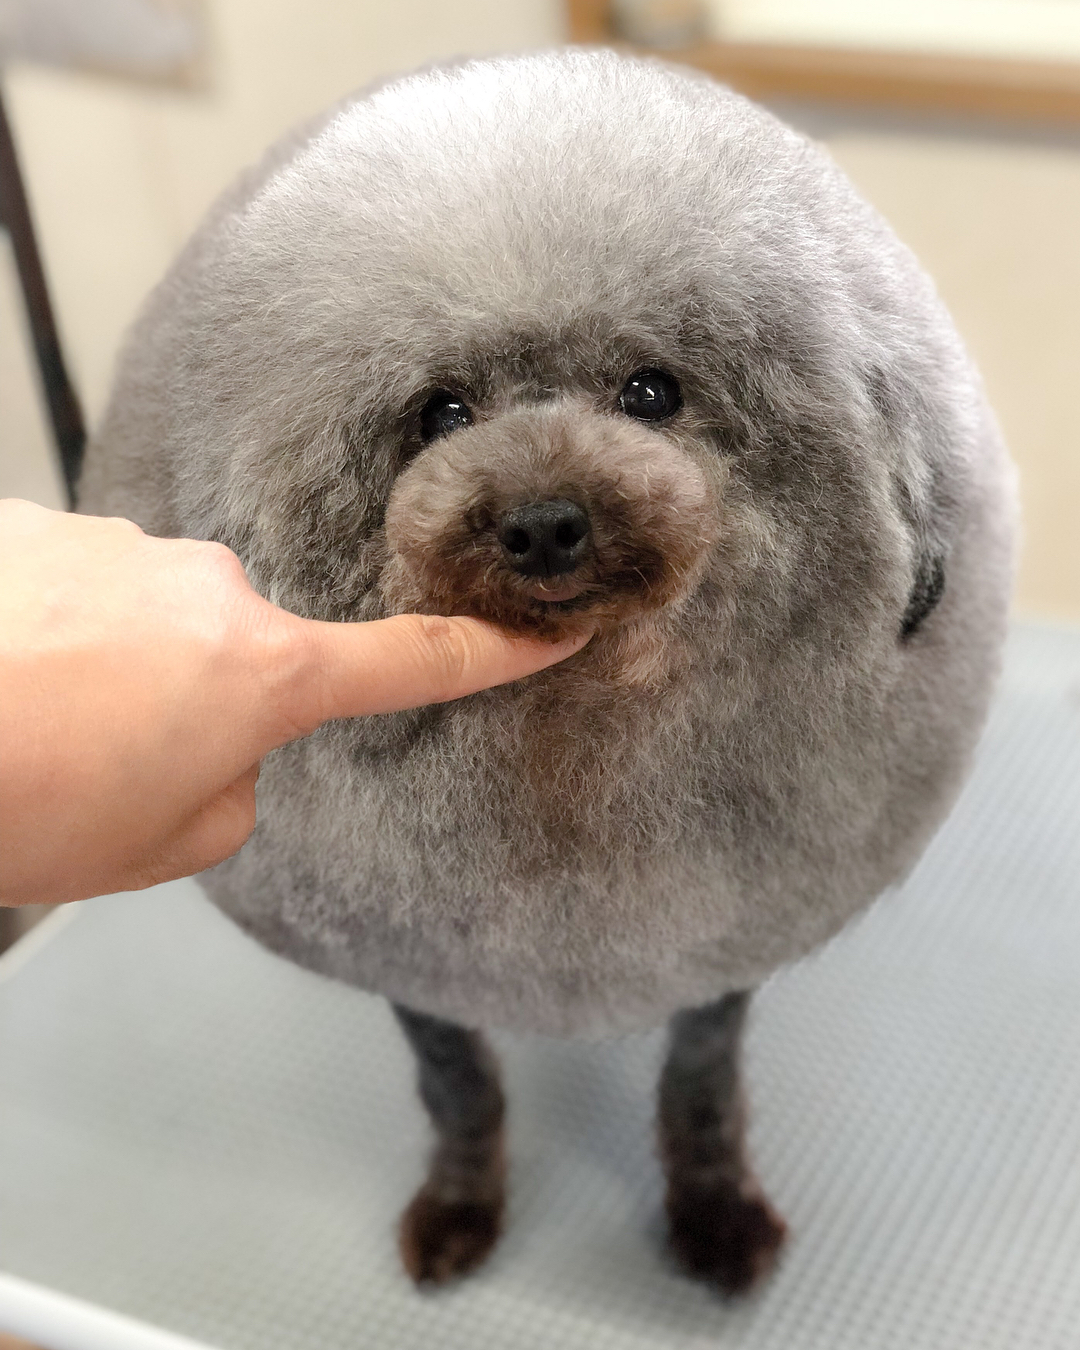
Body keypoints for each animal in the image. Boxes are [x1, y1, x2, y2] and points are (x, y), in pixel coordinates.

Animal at [82, 49, 1015, 1296]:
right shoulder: (412, 961)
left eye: (653, 391)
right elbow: (459, 1091)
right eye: (440, 412)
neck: (570, 744)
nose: (541, 525)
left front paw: (714, 1212)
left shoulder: (724, 946)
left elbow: (700, 1088)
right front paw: (462, 1206)